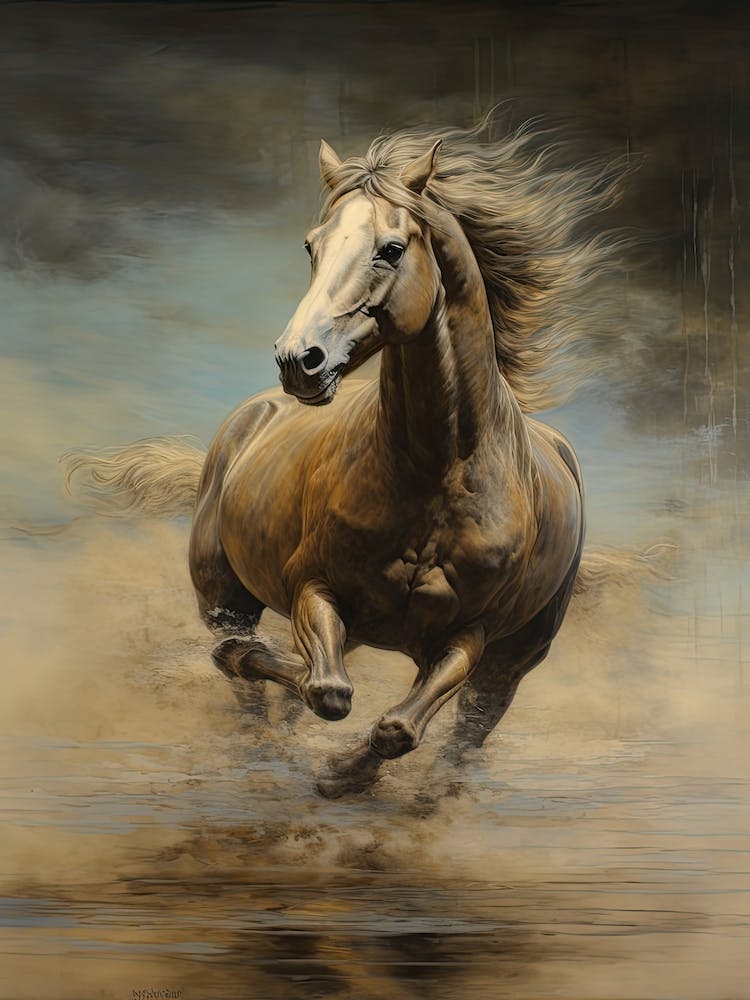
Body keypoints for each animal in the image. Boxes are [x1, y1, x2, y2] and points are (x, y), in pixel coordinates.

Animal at [67, 119, 625, 797]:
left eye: (391, 249)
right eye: (312, 246)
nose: (298, 360)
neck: (439, 475)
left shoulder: (471, 634)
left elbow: (399, 727)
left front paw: (341, 775)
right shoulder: (314, 587)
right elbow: (325, 691)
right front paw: (325, 755)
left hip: (515, 658)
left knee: (470, 729)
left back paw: (431, 796)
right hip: (226, 593)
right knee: (249, 677)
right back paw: (264, 749)